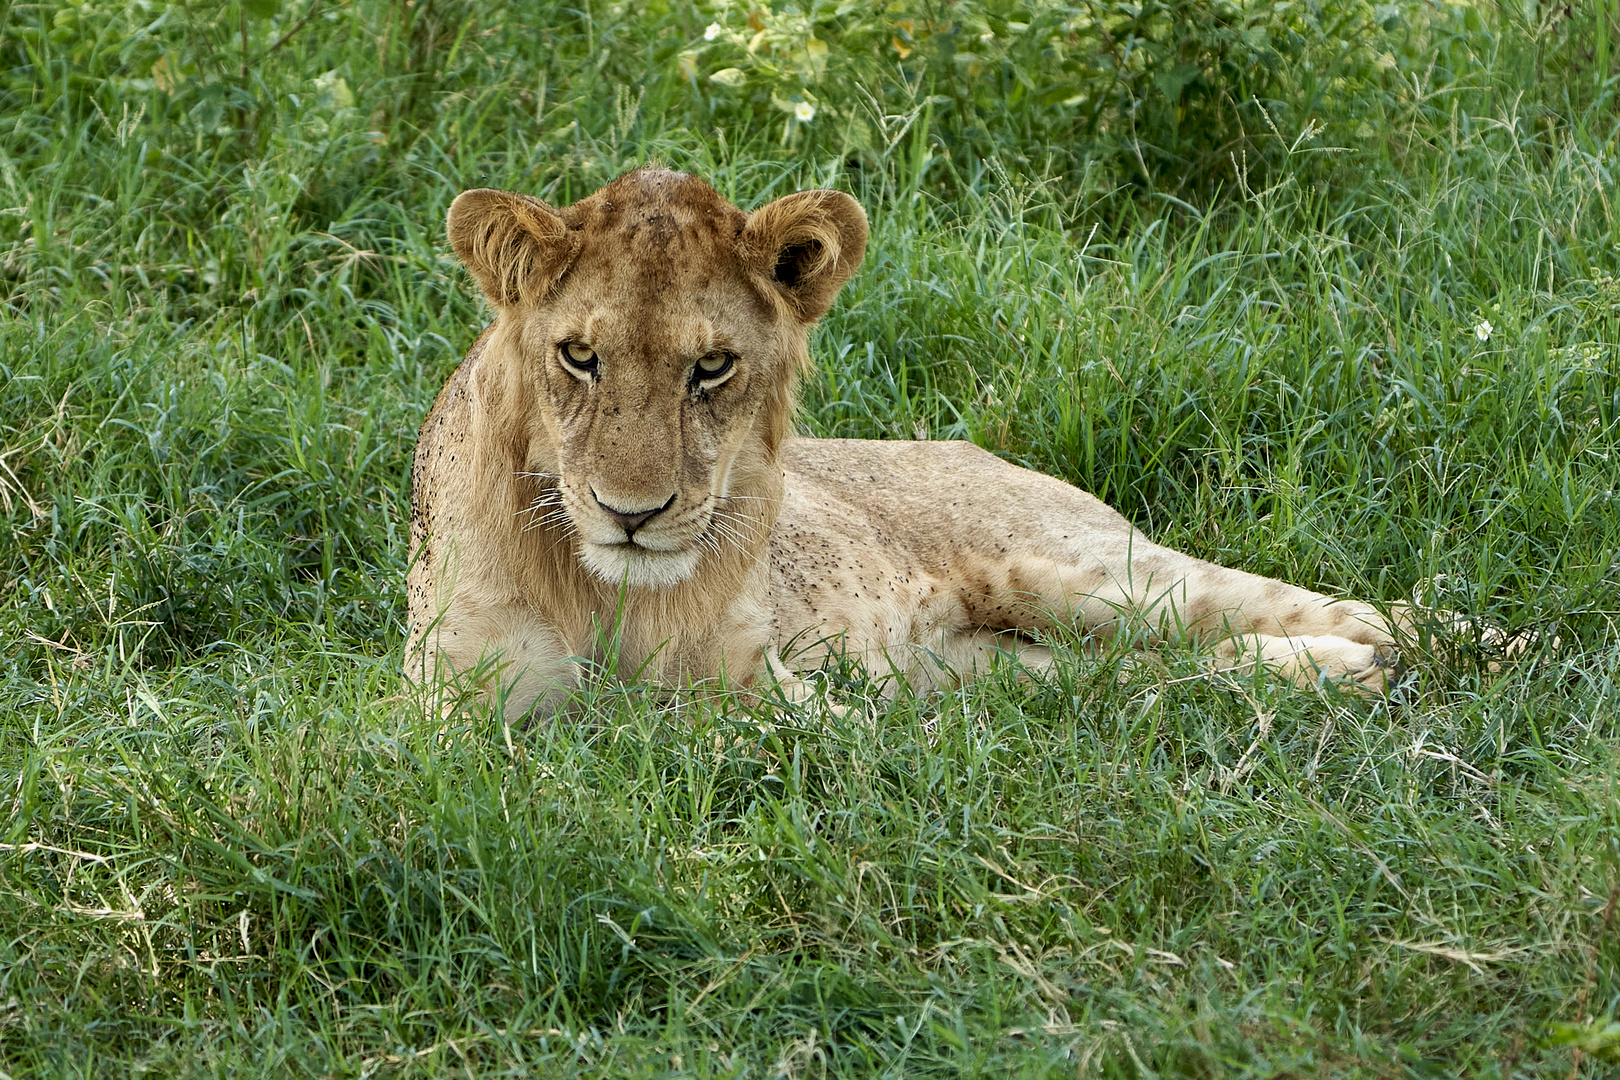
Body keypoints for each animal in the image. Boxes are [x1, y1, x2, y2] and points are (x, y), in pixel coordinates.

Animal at [408, 169, 1458, 718]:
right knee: (1121, 682)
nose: (633, 517)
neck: (604, 591)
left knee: (1321, 607)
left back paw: (1460, 650)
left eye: (712, 367)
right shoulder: (451, 722)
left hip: (1089, 572)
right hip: (997, 664)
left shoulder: (765, 689)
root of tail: (975, 449)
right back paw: (1353, 675)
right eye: (579, 356)